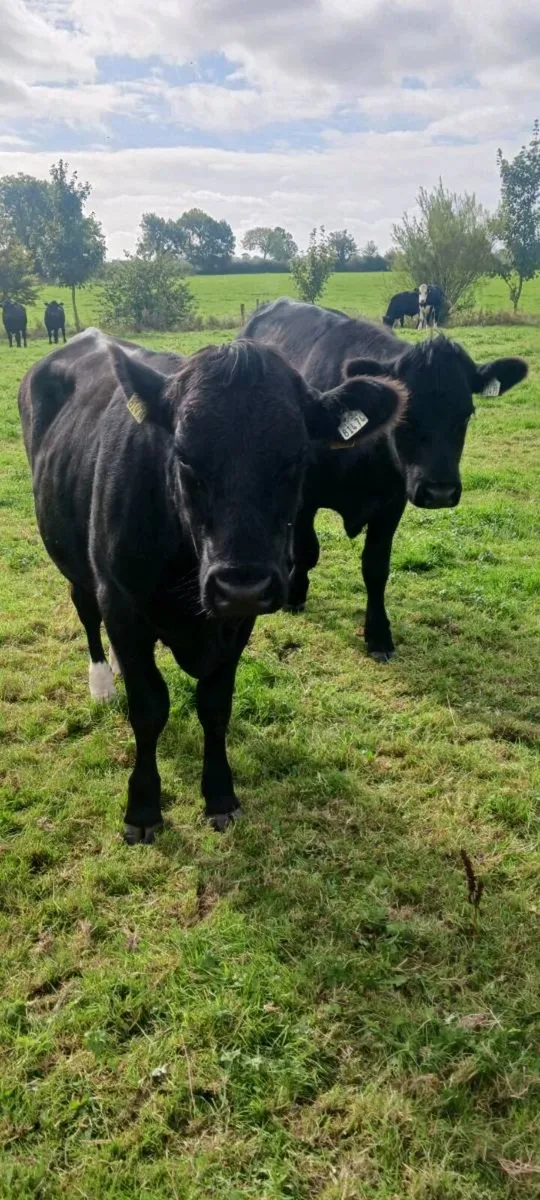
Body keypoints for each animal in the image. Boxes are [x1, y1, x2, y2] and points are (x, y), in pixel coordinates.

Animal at [19, 329, 406, 843]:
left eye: (297, 458)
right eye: (184, 459)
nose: (242, 585)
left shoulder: (236, 622)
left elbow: (215, 705)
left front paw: (220, 795)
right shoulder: (122, 604)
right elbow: (149, 707)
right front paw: (143, 808)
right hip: (73, 559)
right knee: (84, 609)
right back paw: (102, 681)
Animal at [242, 298, 528, 661]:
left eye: (466, 413)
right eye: (405, 414)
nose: (440, 491)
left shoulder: (392, 503)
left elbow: (376, 568)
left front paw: (378, 634)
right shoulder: (306, 495)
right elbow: (308, 549)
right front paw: (295, 594)